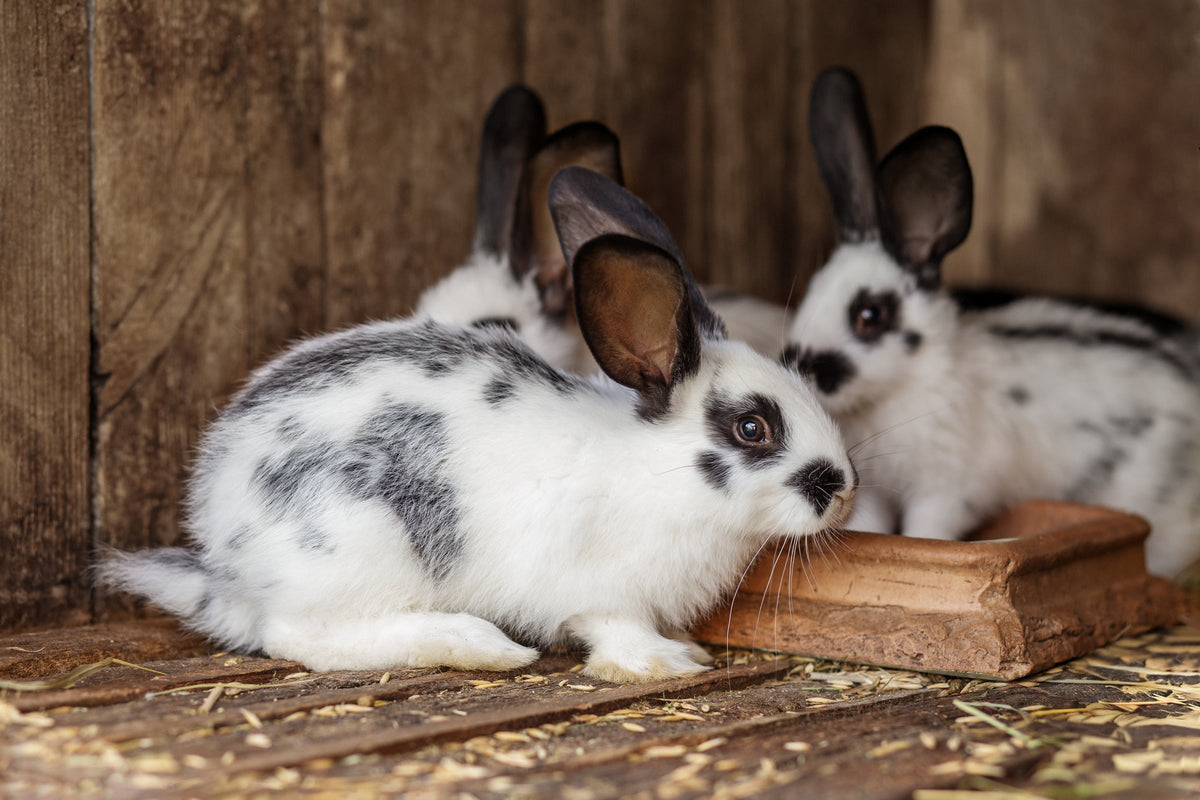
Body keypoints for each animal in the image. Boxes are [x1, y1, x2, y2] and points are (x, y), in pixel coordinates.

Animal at [97, 165, 858, 683]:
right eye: (753, 429)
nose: (843, 489)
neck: (658, 470)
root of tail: (223, 562)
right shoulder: (601, 592)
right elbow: (615, 630)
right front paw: (666, 663)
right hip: (359, 551)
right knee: (298, 636)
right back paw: (479, 646)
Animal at [780, 66, 1200, 577]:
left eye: (870, 315)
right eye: (812, 289)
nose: (797, 363)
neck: (906, 386)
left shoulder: (946, 490)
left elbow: (926, 532)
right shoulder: (876, 489)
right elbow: (875, 531)